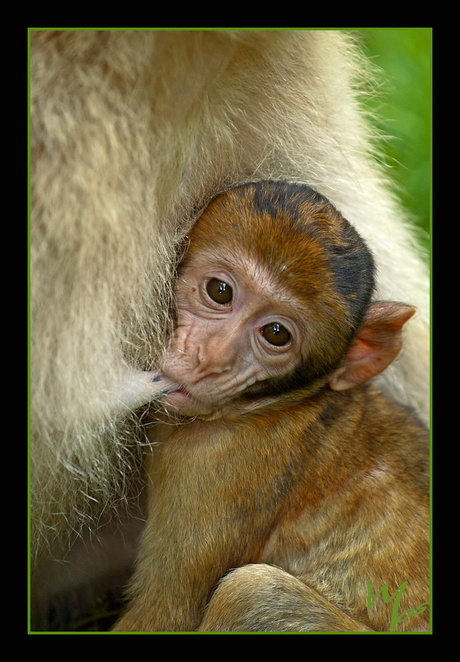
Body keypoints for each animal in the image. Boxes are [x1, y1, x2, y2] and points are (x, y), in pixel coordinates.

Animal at [113, 180, 430, 632]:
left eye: (276, 333)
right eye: (220, 292)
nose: (211, 359)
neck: (273, 407)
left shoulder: (216, 466)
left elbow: (166, 613)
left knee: (252, 591)